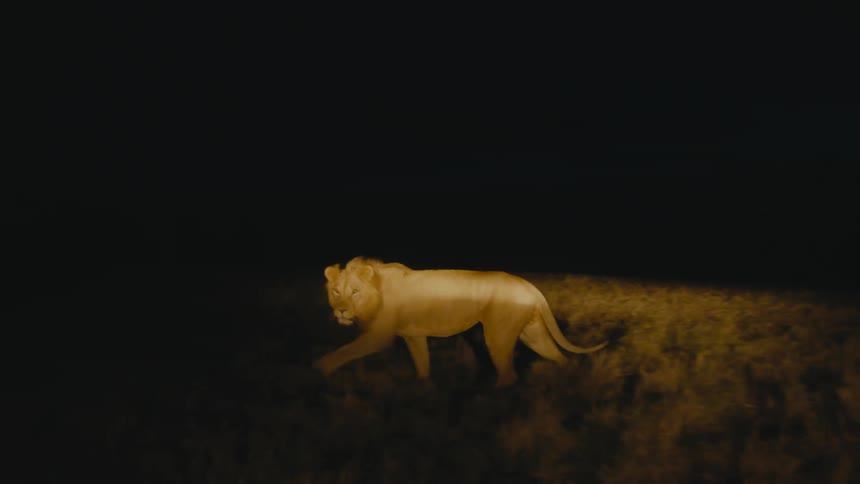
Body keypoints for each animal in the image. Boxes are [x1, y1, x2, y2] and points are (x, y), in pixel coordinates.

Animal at [312, 257, 608, 387]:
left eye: (354, 292)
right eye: (336, 291)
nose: (340, 311)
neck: (376, 291)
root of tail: (528, 284)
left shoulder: (378, 335)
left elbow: (344, 352)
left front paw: (320, 369)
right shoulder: (413, 335)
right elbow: (422, 363)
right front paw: (423, 387)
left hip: (498, 335)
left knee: (509, 373)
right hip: (532, 332)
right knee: (557, 356)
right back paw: (565, 379)